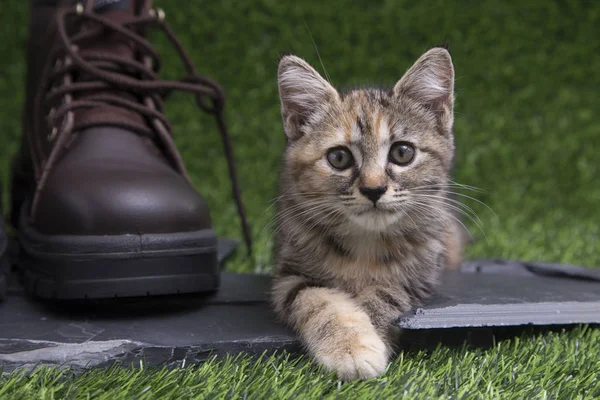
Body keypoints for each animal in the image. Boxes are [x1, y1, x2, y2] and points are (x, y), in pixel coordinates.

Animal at [274, 47, 464, 382]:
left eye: (403, 152)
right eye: (339, 157)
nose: (374, 189)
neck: (365, 242)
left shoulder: (419, 278)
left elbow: (384, 296)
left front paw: (367, 335)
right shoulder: (290, 275)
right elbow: (318, 300)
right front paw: (348, 345)